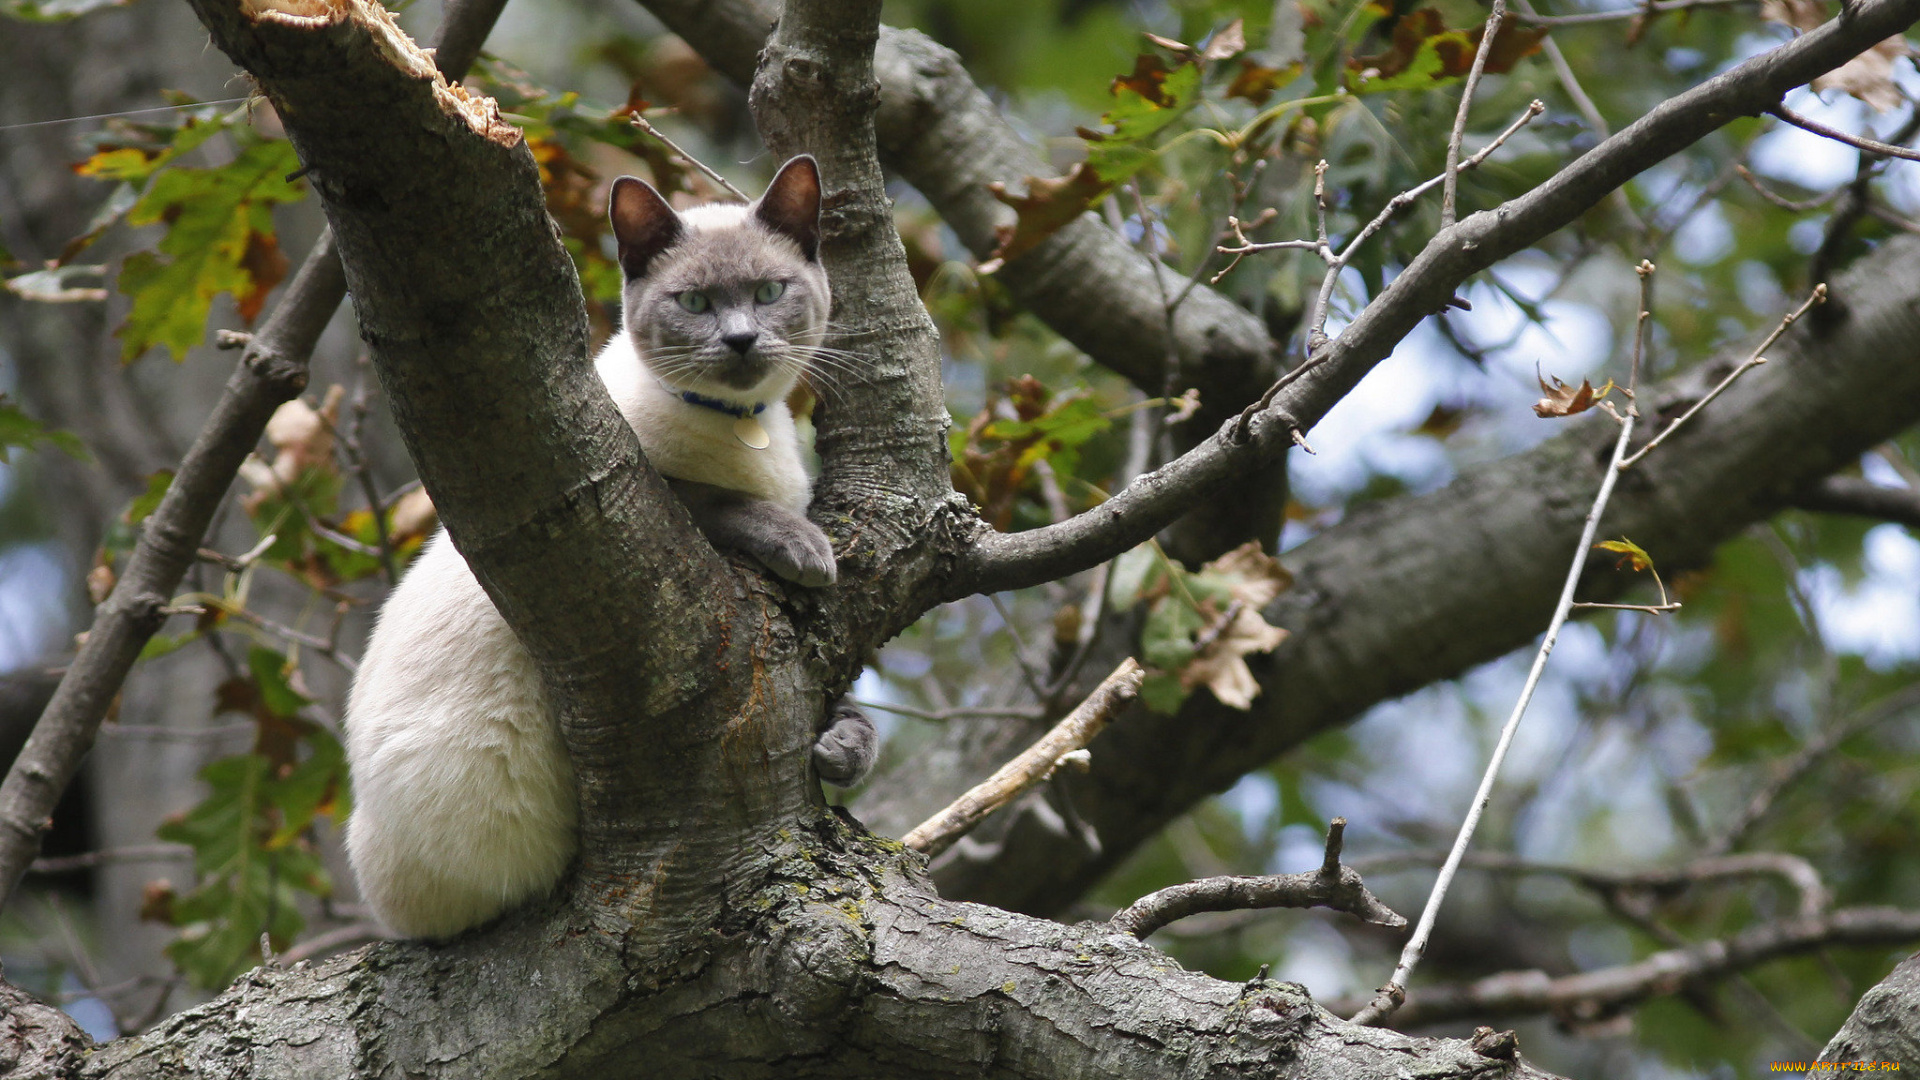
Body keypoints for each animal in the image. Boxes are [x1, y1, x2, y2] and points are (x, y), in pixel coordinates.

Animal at [347, 155, 879, 937]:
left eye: (768, 293)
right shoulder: (641, 482)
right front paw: (808, 551)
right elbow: (719, 502)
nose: (742, 341)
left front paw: (843, 748)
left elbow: (849, 712)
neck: (744, 424)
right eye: (694, 303)